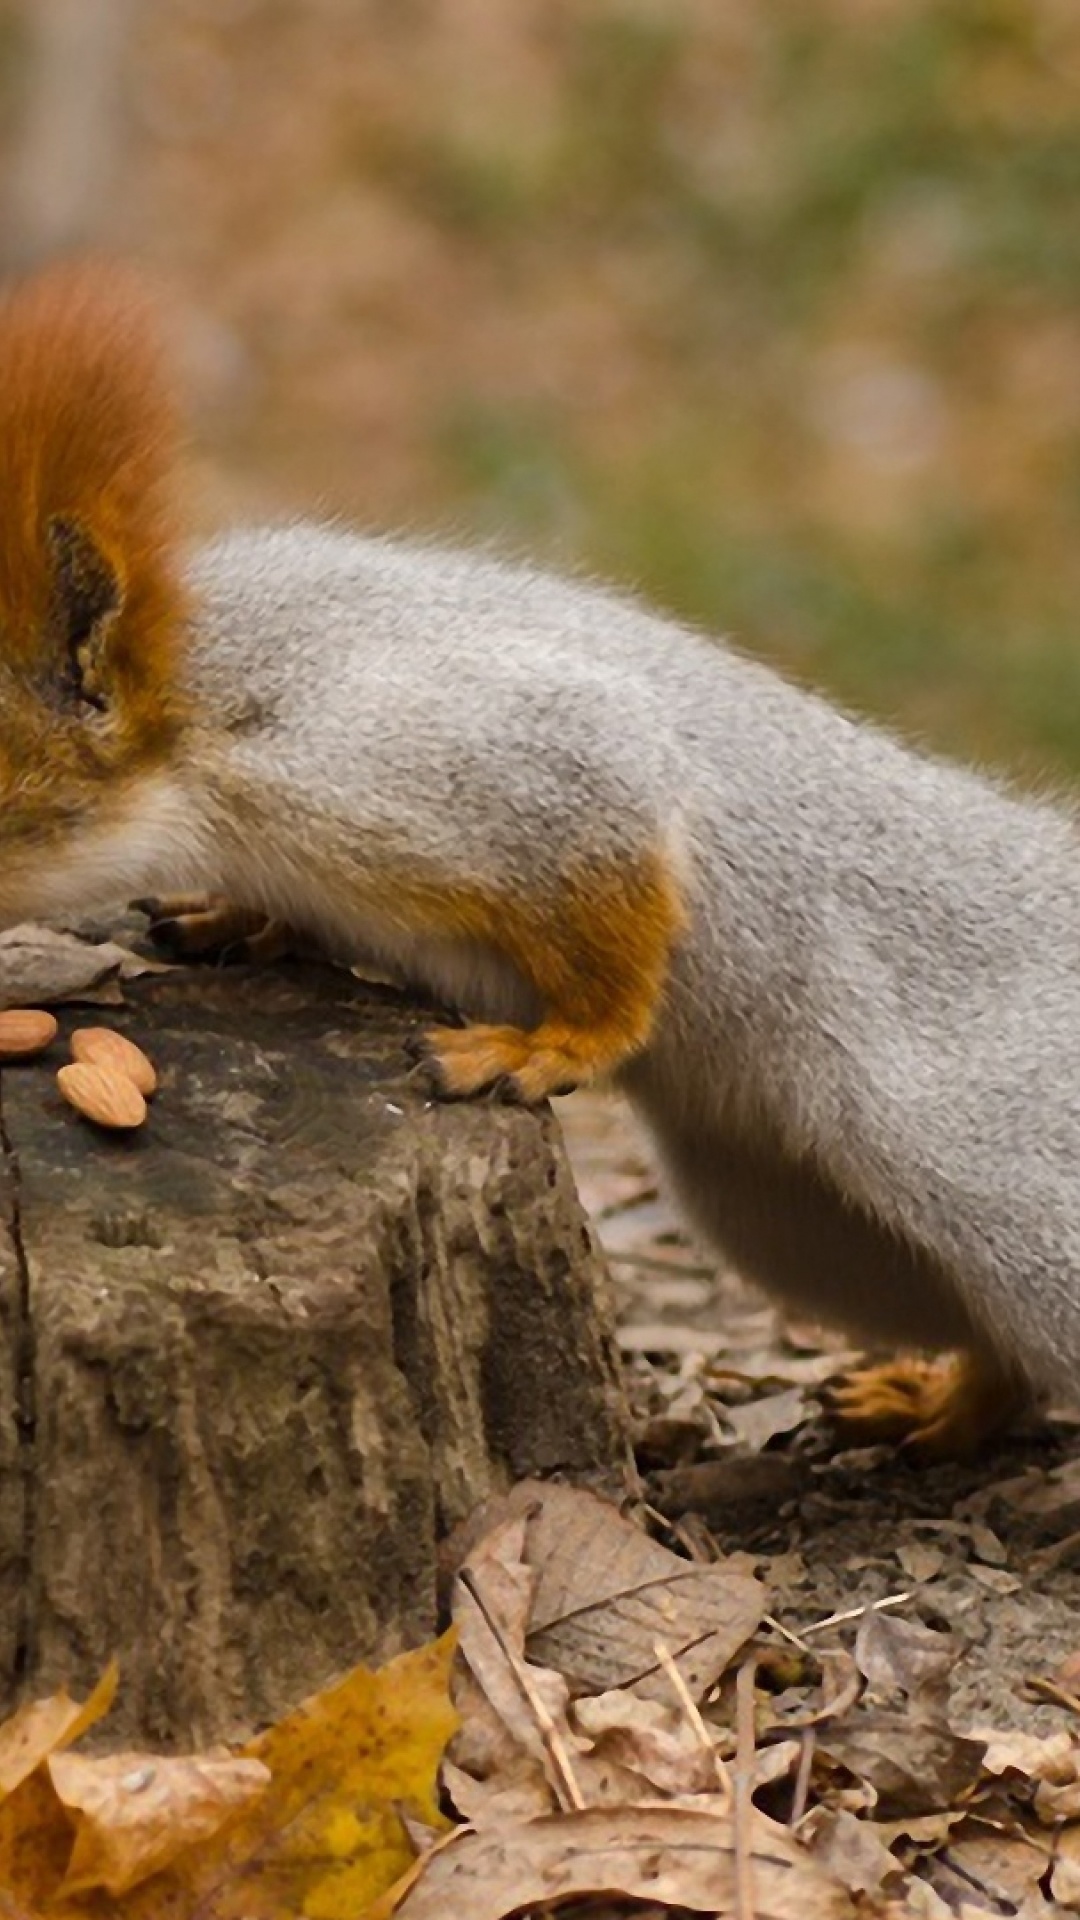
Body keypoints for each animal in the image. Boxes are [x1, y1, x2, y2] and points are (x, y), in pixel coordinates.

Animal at [2, 251, 1076, 1451]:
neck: (212, 703)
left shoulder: (466, 757)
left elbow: (615, 886)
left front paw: (546, 1049)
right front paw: (236, 917)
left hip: (1011, 1183)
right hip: (798, 1220)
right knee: (1000, 1348)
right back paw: (934, 1402)